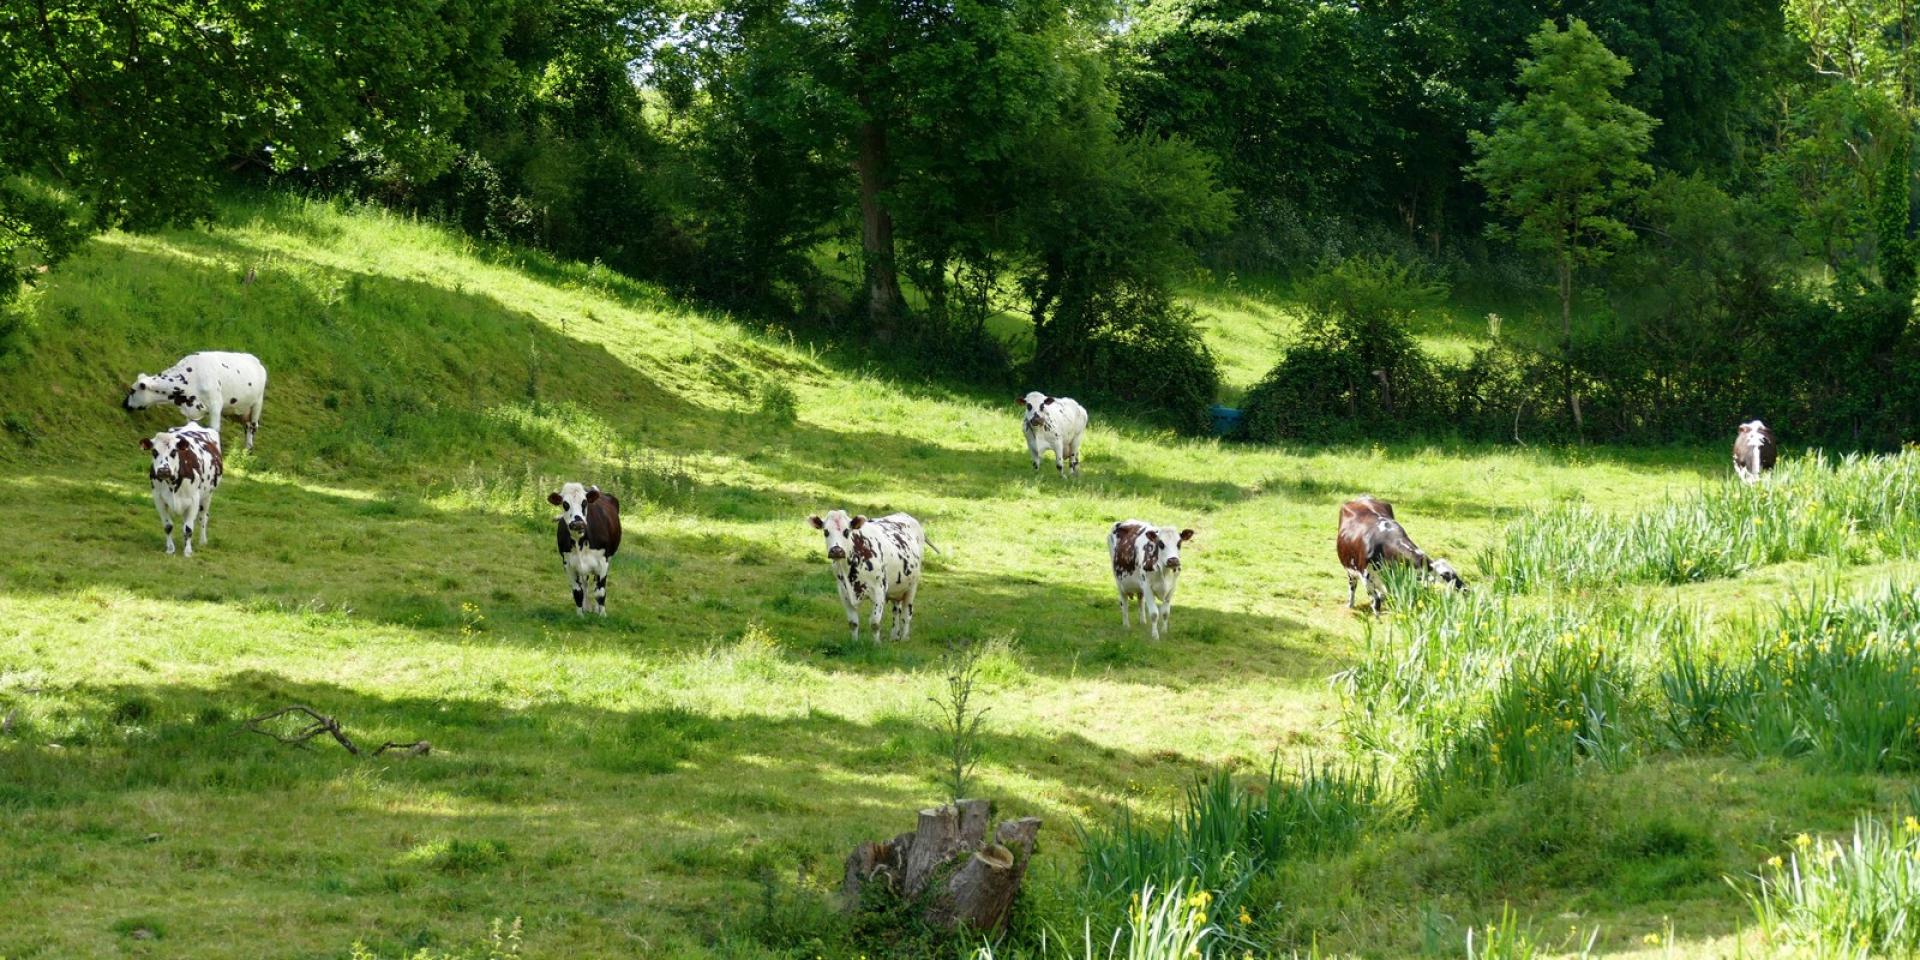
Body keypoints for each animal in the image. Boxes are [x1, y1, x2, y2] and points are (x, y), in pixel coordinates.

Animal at [123, 351, 268, 451]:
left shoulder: (215, 406)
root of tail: (255, 360)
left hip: (257, 405)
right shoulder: (190, 411)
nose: (124, 404)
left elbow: (214, 429)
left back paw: (248, 450)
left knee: (252, 426)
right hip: (239, 410)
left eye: (132, 390)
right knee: (246, 425)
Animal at [140, 425, 223, 557]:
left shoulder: (194, 499)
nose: (163, 470)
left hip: (207, 495)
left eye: (174, 451)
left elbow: (188, 528)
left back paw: (202, 541)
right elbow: (168, 526)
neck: (172, 483)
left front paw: (188, 551)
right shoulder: (158, 499)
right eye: (154, 452)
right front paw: (170, 549)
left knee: (203, 517)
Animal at [549, 483, 621, 616]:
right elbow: (578, 592)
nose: (577, 523)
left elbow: (600, 592)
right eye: (565, 504)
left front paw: (602, 615)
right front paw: (580, 615)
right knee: (585, 584)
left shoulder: (603, 562)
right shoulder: (568, 564)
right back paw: (586, 607)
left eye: (584, 502)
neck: (580, 542)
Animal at [808, 510, 933, 643]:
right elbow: (853, 623)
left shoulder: (879, 591)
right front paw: (854, 642)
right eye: (826, 531)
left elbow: (875, 623)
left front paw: (876, 644)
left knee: (906, 614)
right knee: (896, 611)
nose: (836, 550)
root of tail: (904, 514)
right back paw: (894, 636)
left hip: (912, 587)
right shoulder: (843, 592)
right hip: (897, 586)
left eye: (846, 531)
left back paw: (904, 638)